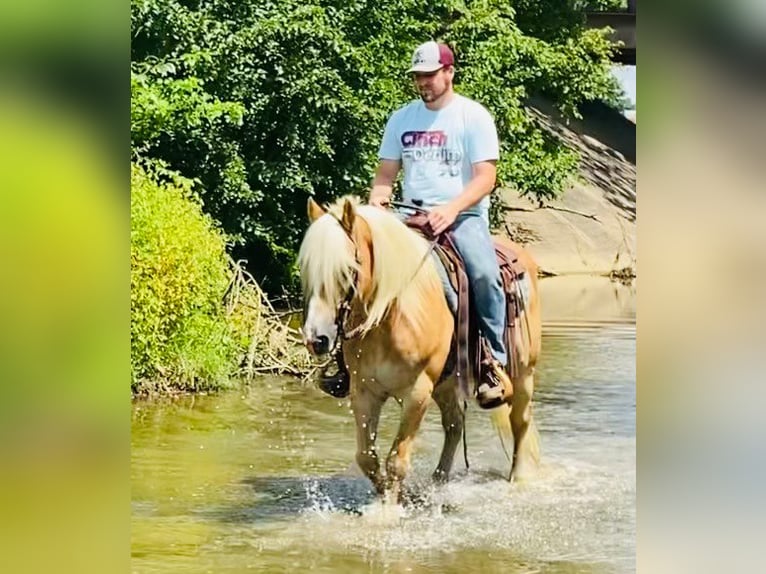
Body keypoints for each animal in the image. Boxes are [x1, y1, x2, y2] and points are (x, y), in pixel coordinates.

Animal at [296, 196, 544, 502]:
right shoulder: (364, 390)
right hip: (446, 383)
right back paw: (439, 482)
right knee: (455, 425)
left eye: (346, 271)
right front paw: (389, 496)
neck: (392, 316)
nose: (316, 338)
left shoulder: (417, 391)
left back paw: (518, 479)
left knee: (520, 421)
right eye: (306, 270)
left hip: (522, 373)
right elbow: (367, 457)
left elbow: (397, 460)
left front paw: (390, 508)